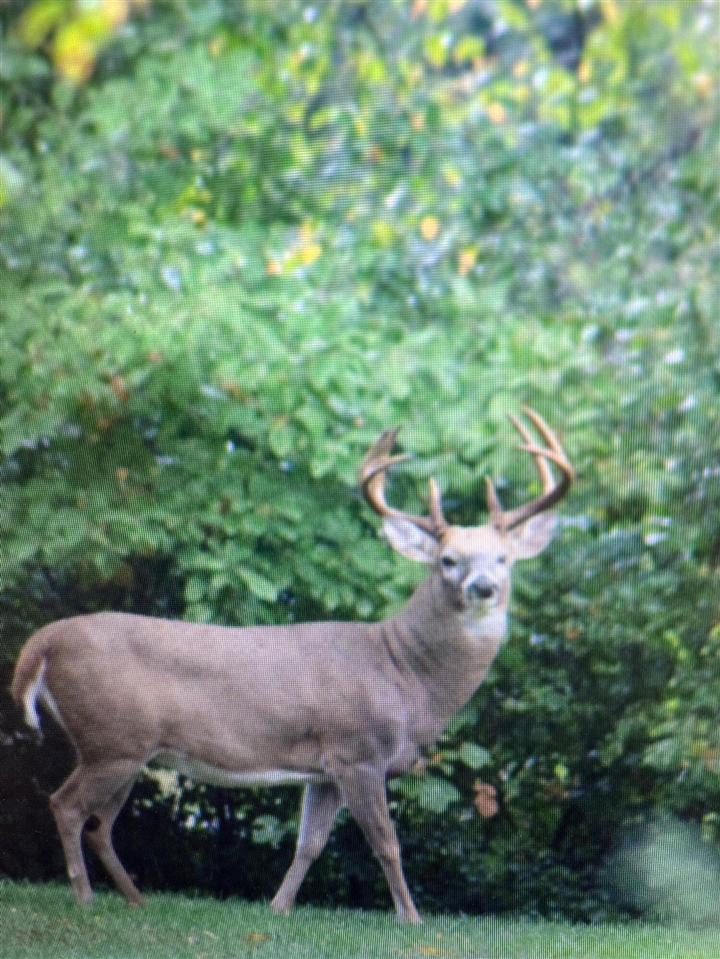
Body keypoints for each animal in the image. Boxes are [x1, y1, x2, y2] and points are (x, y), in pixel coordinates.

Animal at [11, 409, 572, 924]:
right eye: (447, 561)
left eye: (503, 558)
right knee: (66, 805)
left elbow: (310, 843)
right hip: (113, 738)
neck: (403, 674)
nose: (484, 587)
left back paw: (135, 900)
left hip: (128, 748)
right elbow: (386, 843)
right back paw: (85, 899)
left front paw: (278, 908)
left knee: (99, 823)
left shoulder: (324, 769)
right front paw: (411, 918)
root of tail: (41, 643)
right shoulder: (358, 749)